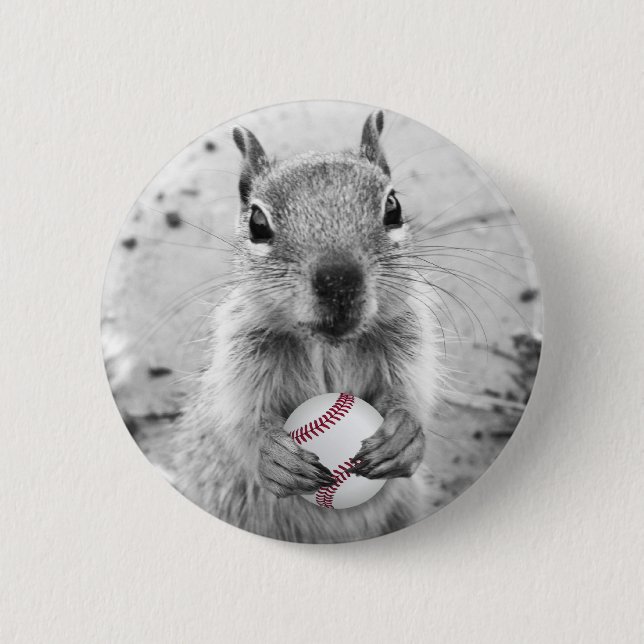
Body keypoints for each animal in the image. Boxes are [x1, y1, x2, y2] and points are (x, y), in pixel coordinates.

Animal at [171, 110, 442, 542]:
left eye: (393, 207)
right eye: (257, 223)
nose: (339, 281)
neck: (328, 345)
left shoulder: (408, 337)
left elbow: (411, 392)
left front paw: (404, 434)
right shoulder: (240, 353)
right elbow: (238, 419)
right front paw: (271, 453)